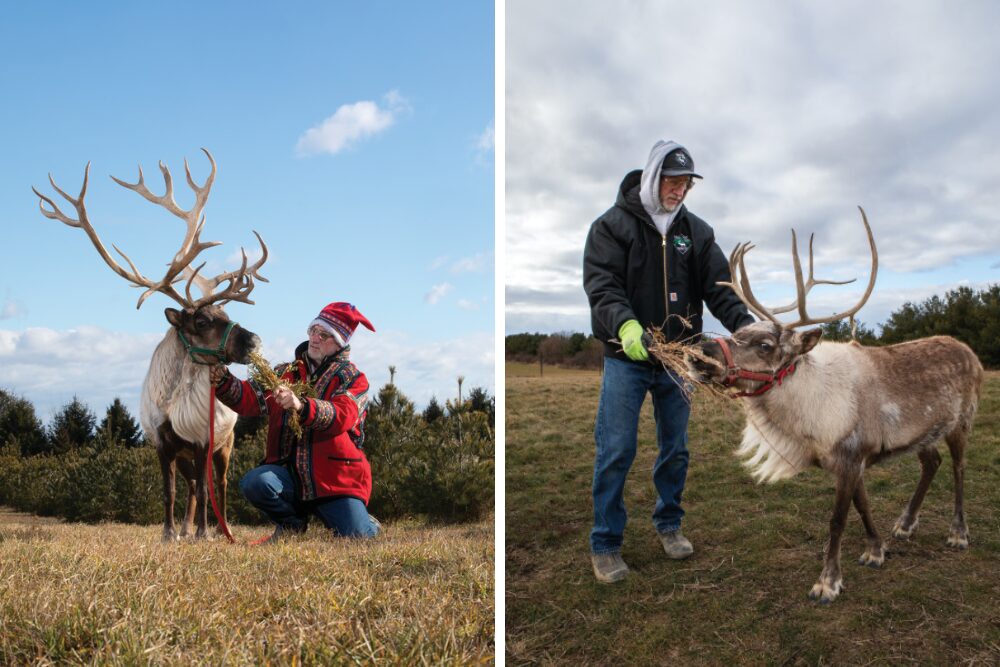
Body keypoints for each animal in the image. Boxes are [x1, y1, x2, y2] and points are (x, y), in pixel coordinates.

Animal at [33, 149, 268, 541]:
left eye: (226, 311)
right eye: (202, 321)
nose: (254, 339)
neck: (172, 404)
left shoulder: (203, 442)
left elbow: (208, 490)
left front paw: (204, 533)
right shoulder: (162, 445)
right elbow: (168, 491)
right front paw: (170, 533)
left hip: (228, 442)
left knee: (218, 485)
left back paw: (219, 531)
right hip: (188, 457)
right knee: (192, 487)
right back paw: (188, 528)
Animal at [685, 208, 982, 603]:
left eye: (765, 345)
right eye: (737, 334)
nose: (699, 353)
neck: (808, 419)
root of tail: (971, 352)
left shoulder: (851, 456)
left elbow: (838, 519)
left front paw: (828, 581)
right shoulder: (850, 460)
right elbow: (863, 505)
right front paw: (876, 550)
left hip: (961, 422)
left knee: (960, 468)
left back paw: (958, 532)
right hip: (924, 432)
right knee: (931, 462)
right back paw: (905, 524)